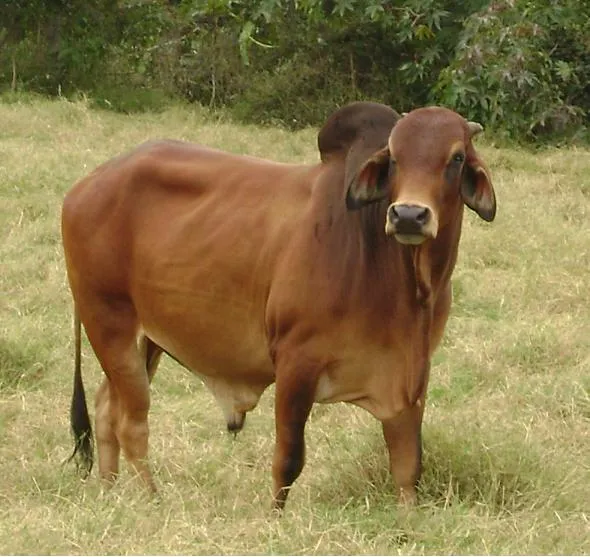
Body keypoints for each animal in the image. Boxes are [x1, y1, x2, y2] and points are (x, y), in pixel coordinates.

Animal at [62, 100, 498, 508]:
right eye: (393, 157)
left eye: (457, 157)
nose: (408, 215)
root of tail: (85, 185)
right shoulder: (296, 362)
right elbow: (288, 460)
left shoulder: (410, 375)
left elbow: (408, 469)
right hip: (108, 321)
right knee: (132, 423)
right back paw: (152, 498)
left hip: (146, 338)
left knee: (107, 407)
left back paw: (108, 491)